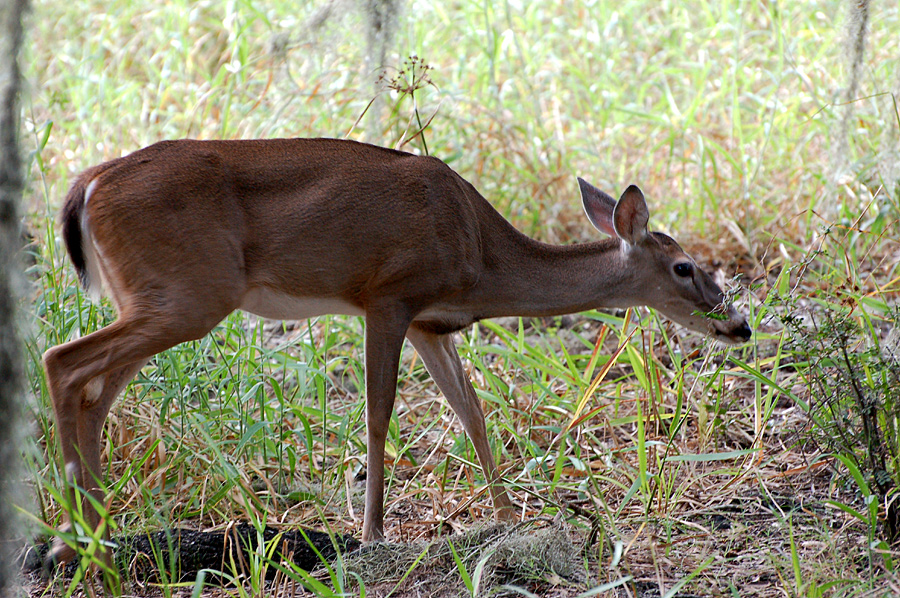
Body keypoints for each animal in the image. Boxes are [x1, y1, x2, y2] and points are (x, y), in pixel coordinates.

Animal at [42, 138, 748, 568]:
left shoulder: (431, 324)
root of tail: (88, 184)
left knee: (95, 392)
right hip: (190, 294)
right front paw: (373, 533)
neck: (481, 256)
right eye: (685, 267)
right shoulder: (388, 297)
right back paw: (75, 540)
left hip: (157, 298)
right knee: (63, 361)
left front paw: (508, 517)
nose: (737, 324)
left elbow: (471, 413)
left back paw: (92, 535)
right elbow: (378, 414)